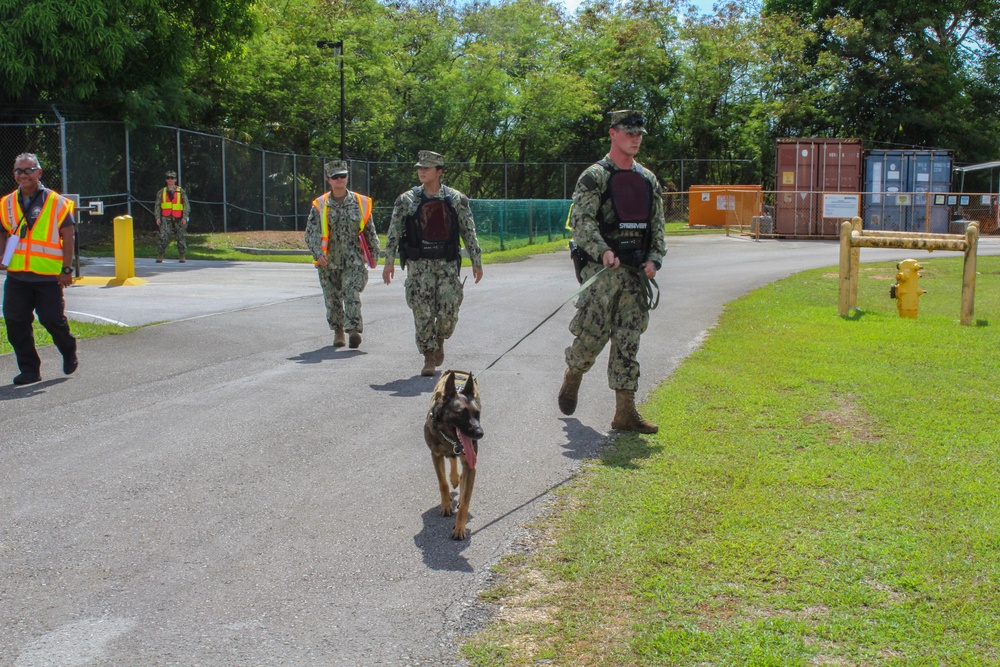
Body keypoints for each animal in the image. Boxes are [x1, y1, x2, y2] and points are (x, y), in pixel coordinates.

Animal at [422, 370, 484, 544]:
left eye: (477, 413)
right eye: (461, 413)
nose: (480, 433)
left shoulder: (470, 466)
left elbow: (465, 501)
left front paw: (459, 528)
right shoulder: (436, 455)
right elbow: (443, 483)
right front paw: (446, 505)